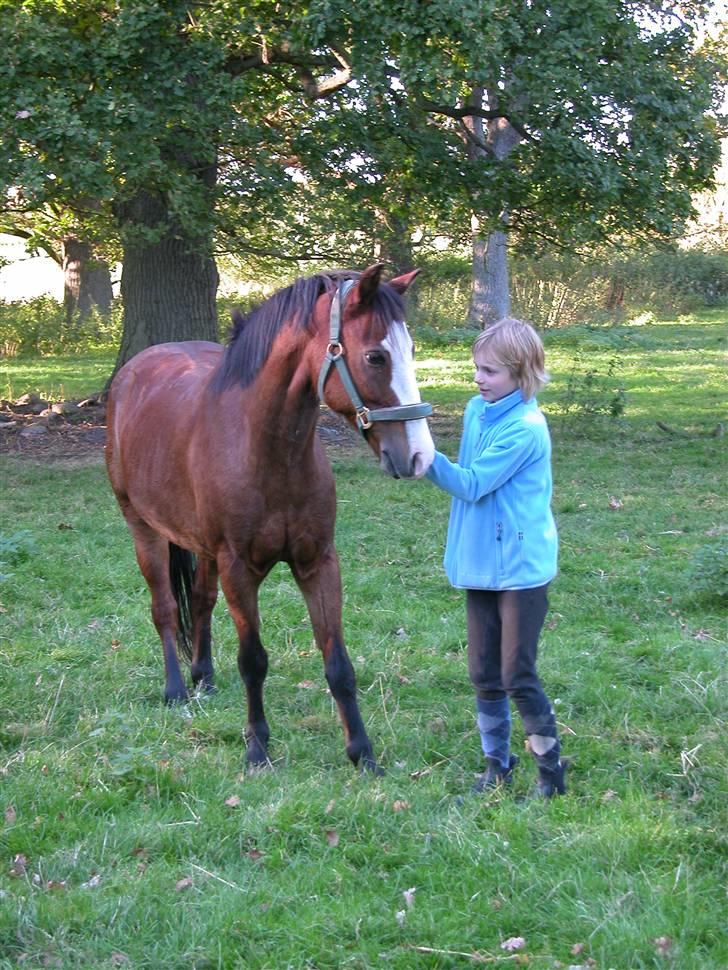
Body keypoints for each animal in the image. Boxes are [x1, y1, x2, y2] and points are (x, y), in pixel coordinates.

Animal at [105, 262, 436, 772]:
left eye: (412, 351)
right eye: (376, 357)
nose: (419, 456)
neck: (268, 450)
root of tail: (133, 372)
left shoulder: (318, 563)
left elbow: (338, 662)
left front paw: (362, 752)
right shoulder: (240, 569)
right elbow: (253, 661)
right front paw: (257, 747)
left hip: (203, 549)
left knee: (200, 601)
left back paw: (203, 678)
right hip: (144, 531)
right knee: (164, 609)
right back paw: (176, 689)